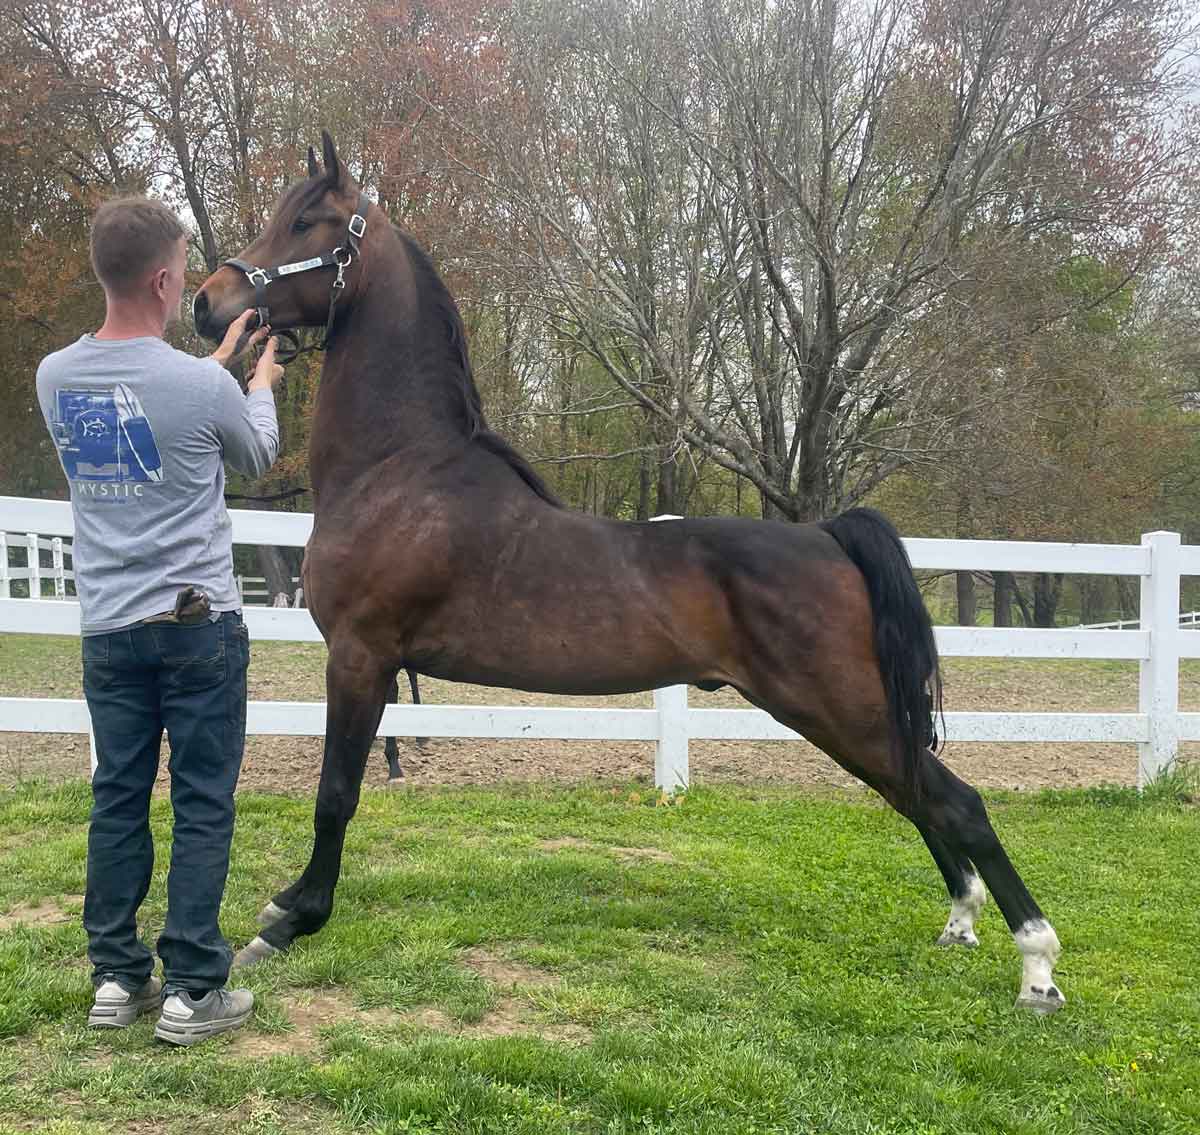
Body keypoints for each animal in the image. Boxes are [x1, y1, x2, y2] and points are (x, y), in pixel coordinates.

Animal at [193, 132, 1065, 1014]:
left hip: (843, 710)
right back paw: (963, 922)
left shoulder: (360, 656)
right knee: (917, 792)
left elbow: (336, 794)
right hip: (845, 717)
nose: (208, 301)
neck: (400, 470)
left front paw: (289, 918)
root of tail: (827, 535)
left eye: (307, 222)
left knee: (957, 801)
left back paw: (1038, 965)